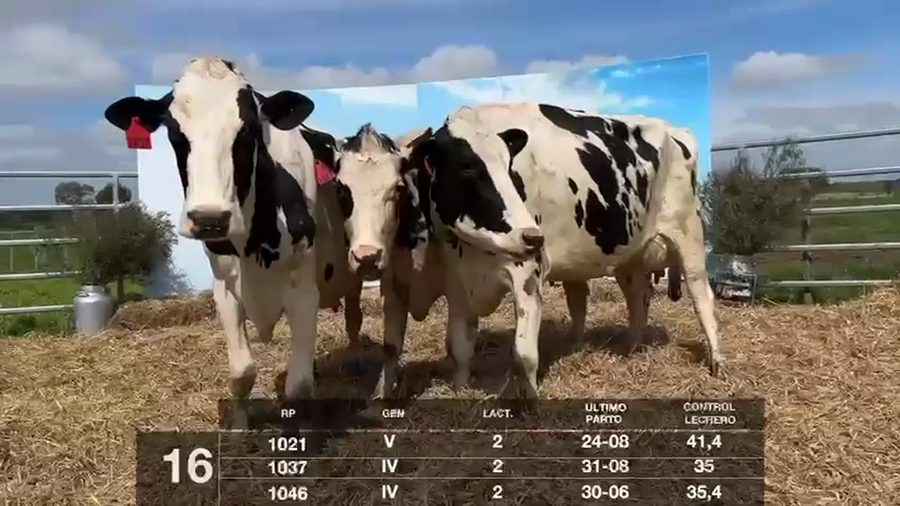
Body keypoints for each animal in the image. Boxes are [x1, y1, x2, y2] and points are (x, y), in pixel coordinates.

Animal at [404, 103, 723, 385]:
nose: (532, 237)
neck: (473, 252)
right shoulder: (457, 282)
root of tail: (674, 128)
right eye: (467, 167)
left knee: (702, 298)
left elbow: (524, 353)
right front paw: (460, 386)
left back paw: (717, 362)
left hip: (689, 235)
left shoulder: (528, 273)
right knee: (638, 299)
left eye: (508, 164)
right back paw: (632, 350)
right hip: (629, 254)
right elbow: (459, 346)